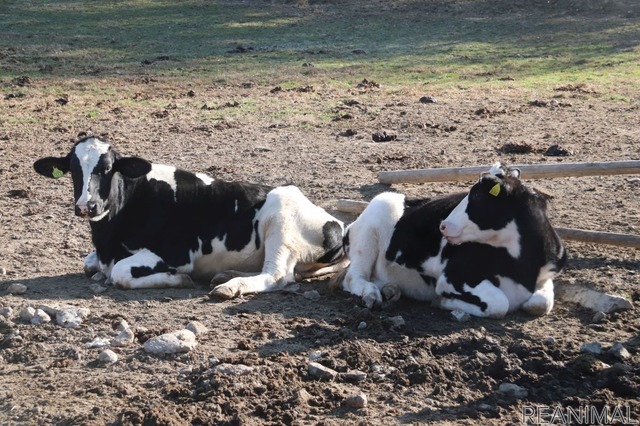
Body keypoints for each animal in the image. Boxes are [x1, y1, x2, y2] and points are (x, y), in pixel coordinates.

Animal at [32, 136, 348, 296]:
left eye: (108, 168)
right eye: (73, 170)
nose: (87, 206)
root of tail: (339, 225)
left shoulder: (176, 253)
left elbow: (120, 273)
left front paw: (179, 280)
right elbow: (89, 264)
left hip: (282, 224)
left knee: (278, 275)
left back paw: (230, 287)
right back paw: (225, 275)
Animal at [336, 165, 564, 318]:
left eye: (477, 197)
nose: (442, 225)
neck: (523, 269)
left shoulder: (546, 276)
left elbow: (540, 303)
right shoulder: (453, 276)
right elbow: (499, 305)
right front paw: (444, 302)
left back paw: (390, 290)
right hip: (371, 228)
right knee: (353, 278)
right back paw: (372, 294)